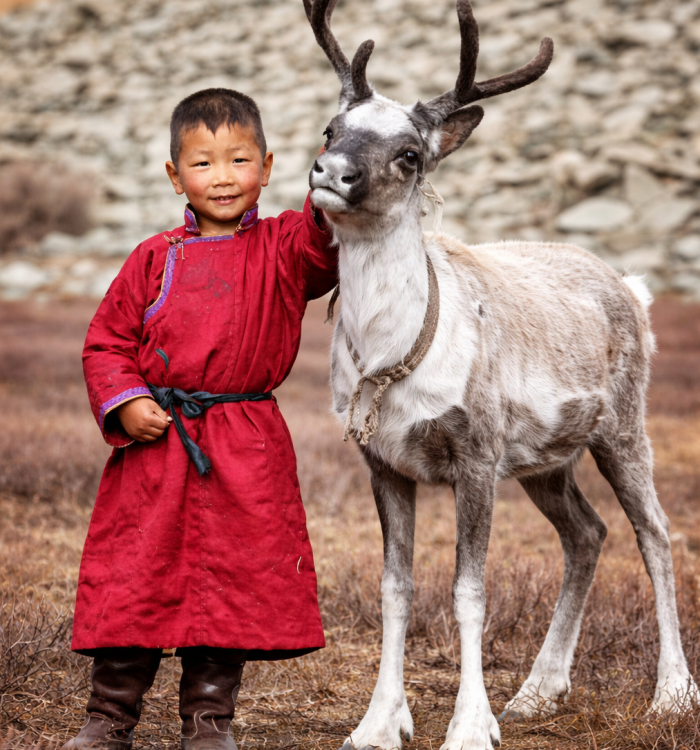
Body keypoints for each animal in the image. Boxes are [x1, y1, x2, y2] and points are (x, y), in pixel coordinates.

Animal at [302, 1, 700, 748]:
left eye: (411, 153)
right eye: (332, 127)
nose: (329, 172)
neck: (391, 352)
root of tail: (632, 289)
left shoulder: (476, 455)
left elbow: (469, 592)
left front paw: (468, 725)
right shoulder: (383, 462)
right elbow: (395, 589)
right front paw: (379, 722)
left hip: (623, 429)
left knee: (656, 534)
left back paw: (671, 694)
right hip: (547, 461)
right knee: (587, 534)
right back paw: (539, 691)